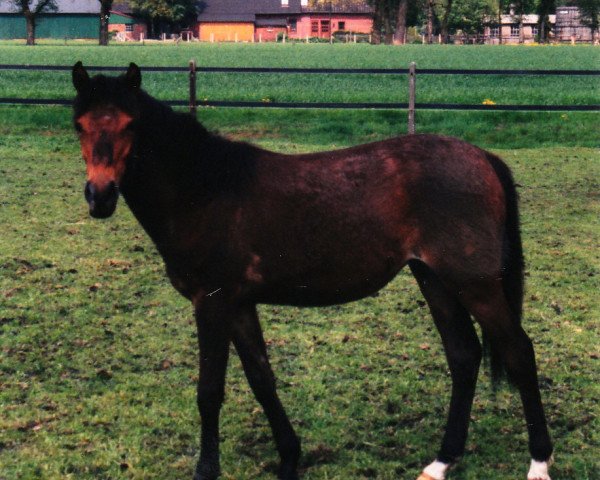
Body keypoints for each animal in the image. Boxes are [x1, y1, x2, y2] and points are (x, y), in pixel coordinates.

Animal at [70, 63, 552, 480]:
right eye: (79, 125)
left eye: (130, 124)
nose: (100, 196)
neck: (205, 187)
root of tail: (484, 158)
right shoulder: (239, 305)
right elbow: (262, 380)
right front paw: (289, 457)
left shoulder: (212, 302)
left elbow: (210, 392)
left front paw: (207, 470)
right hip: (435, 279)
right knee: (464, 356)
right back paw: (441, 462)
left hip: (476, 285)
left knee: (519, 353)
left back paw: (538, 463)